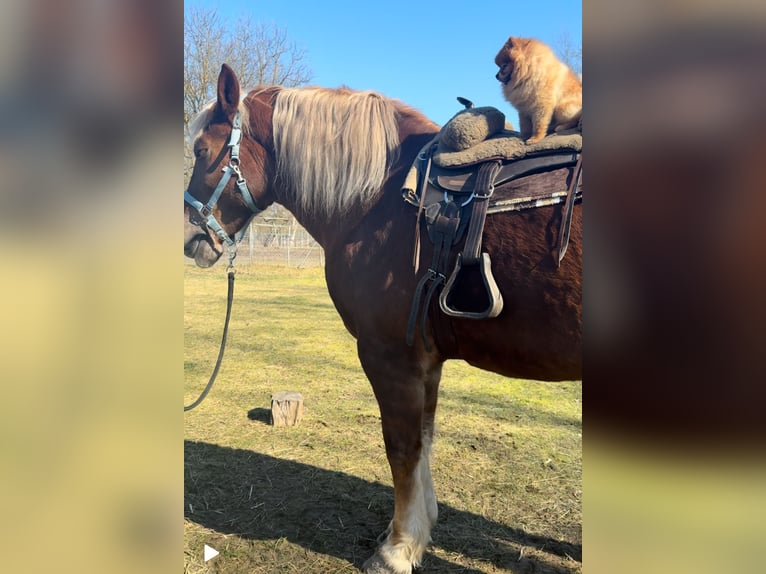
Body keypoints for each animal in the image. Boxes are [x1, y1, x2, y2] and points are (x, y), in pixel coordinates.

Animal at [184, 64, 581, 574]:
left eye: (201, 151)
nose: (190, 238)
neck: (378, 197)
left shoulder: (391, 357)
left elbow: (403, 450)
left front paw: (396, 549)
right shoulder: (425, 361)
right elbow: (424, 440)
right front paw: (420, 531)